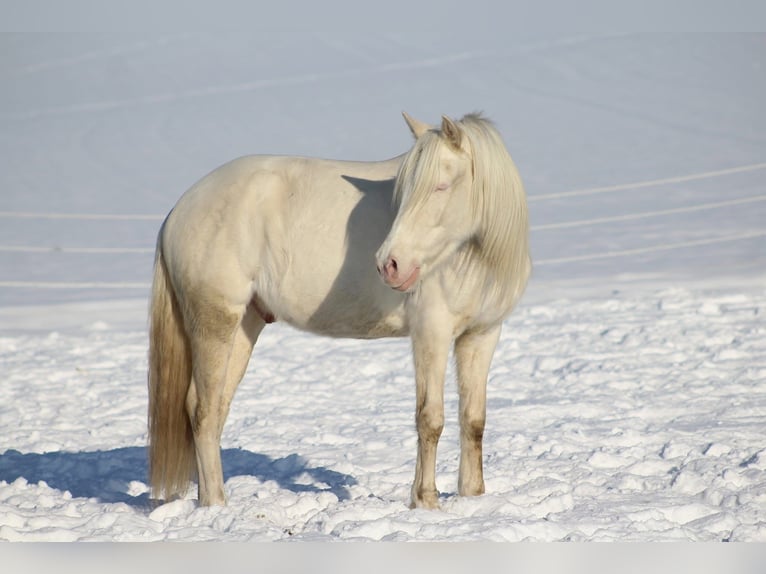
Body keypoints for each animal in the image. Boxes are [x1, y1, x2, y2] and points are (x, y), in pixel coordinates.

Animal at [150, 115, 536, 510]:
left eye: (441, 186)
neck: (471, 257)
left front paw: (473, 495)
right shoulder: (432, 333)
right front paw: (425, 501)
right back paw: (216, 503)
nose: (389, 264)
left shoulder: (482, 335)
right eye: (404, 190)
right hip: (214, 322)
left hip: (245, 325)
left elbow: (474, 419)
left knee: (215, 409)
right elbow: (430, 419)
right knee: (202, 409)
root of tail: (180, 210)